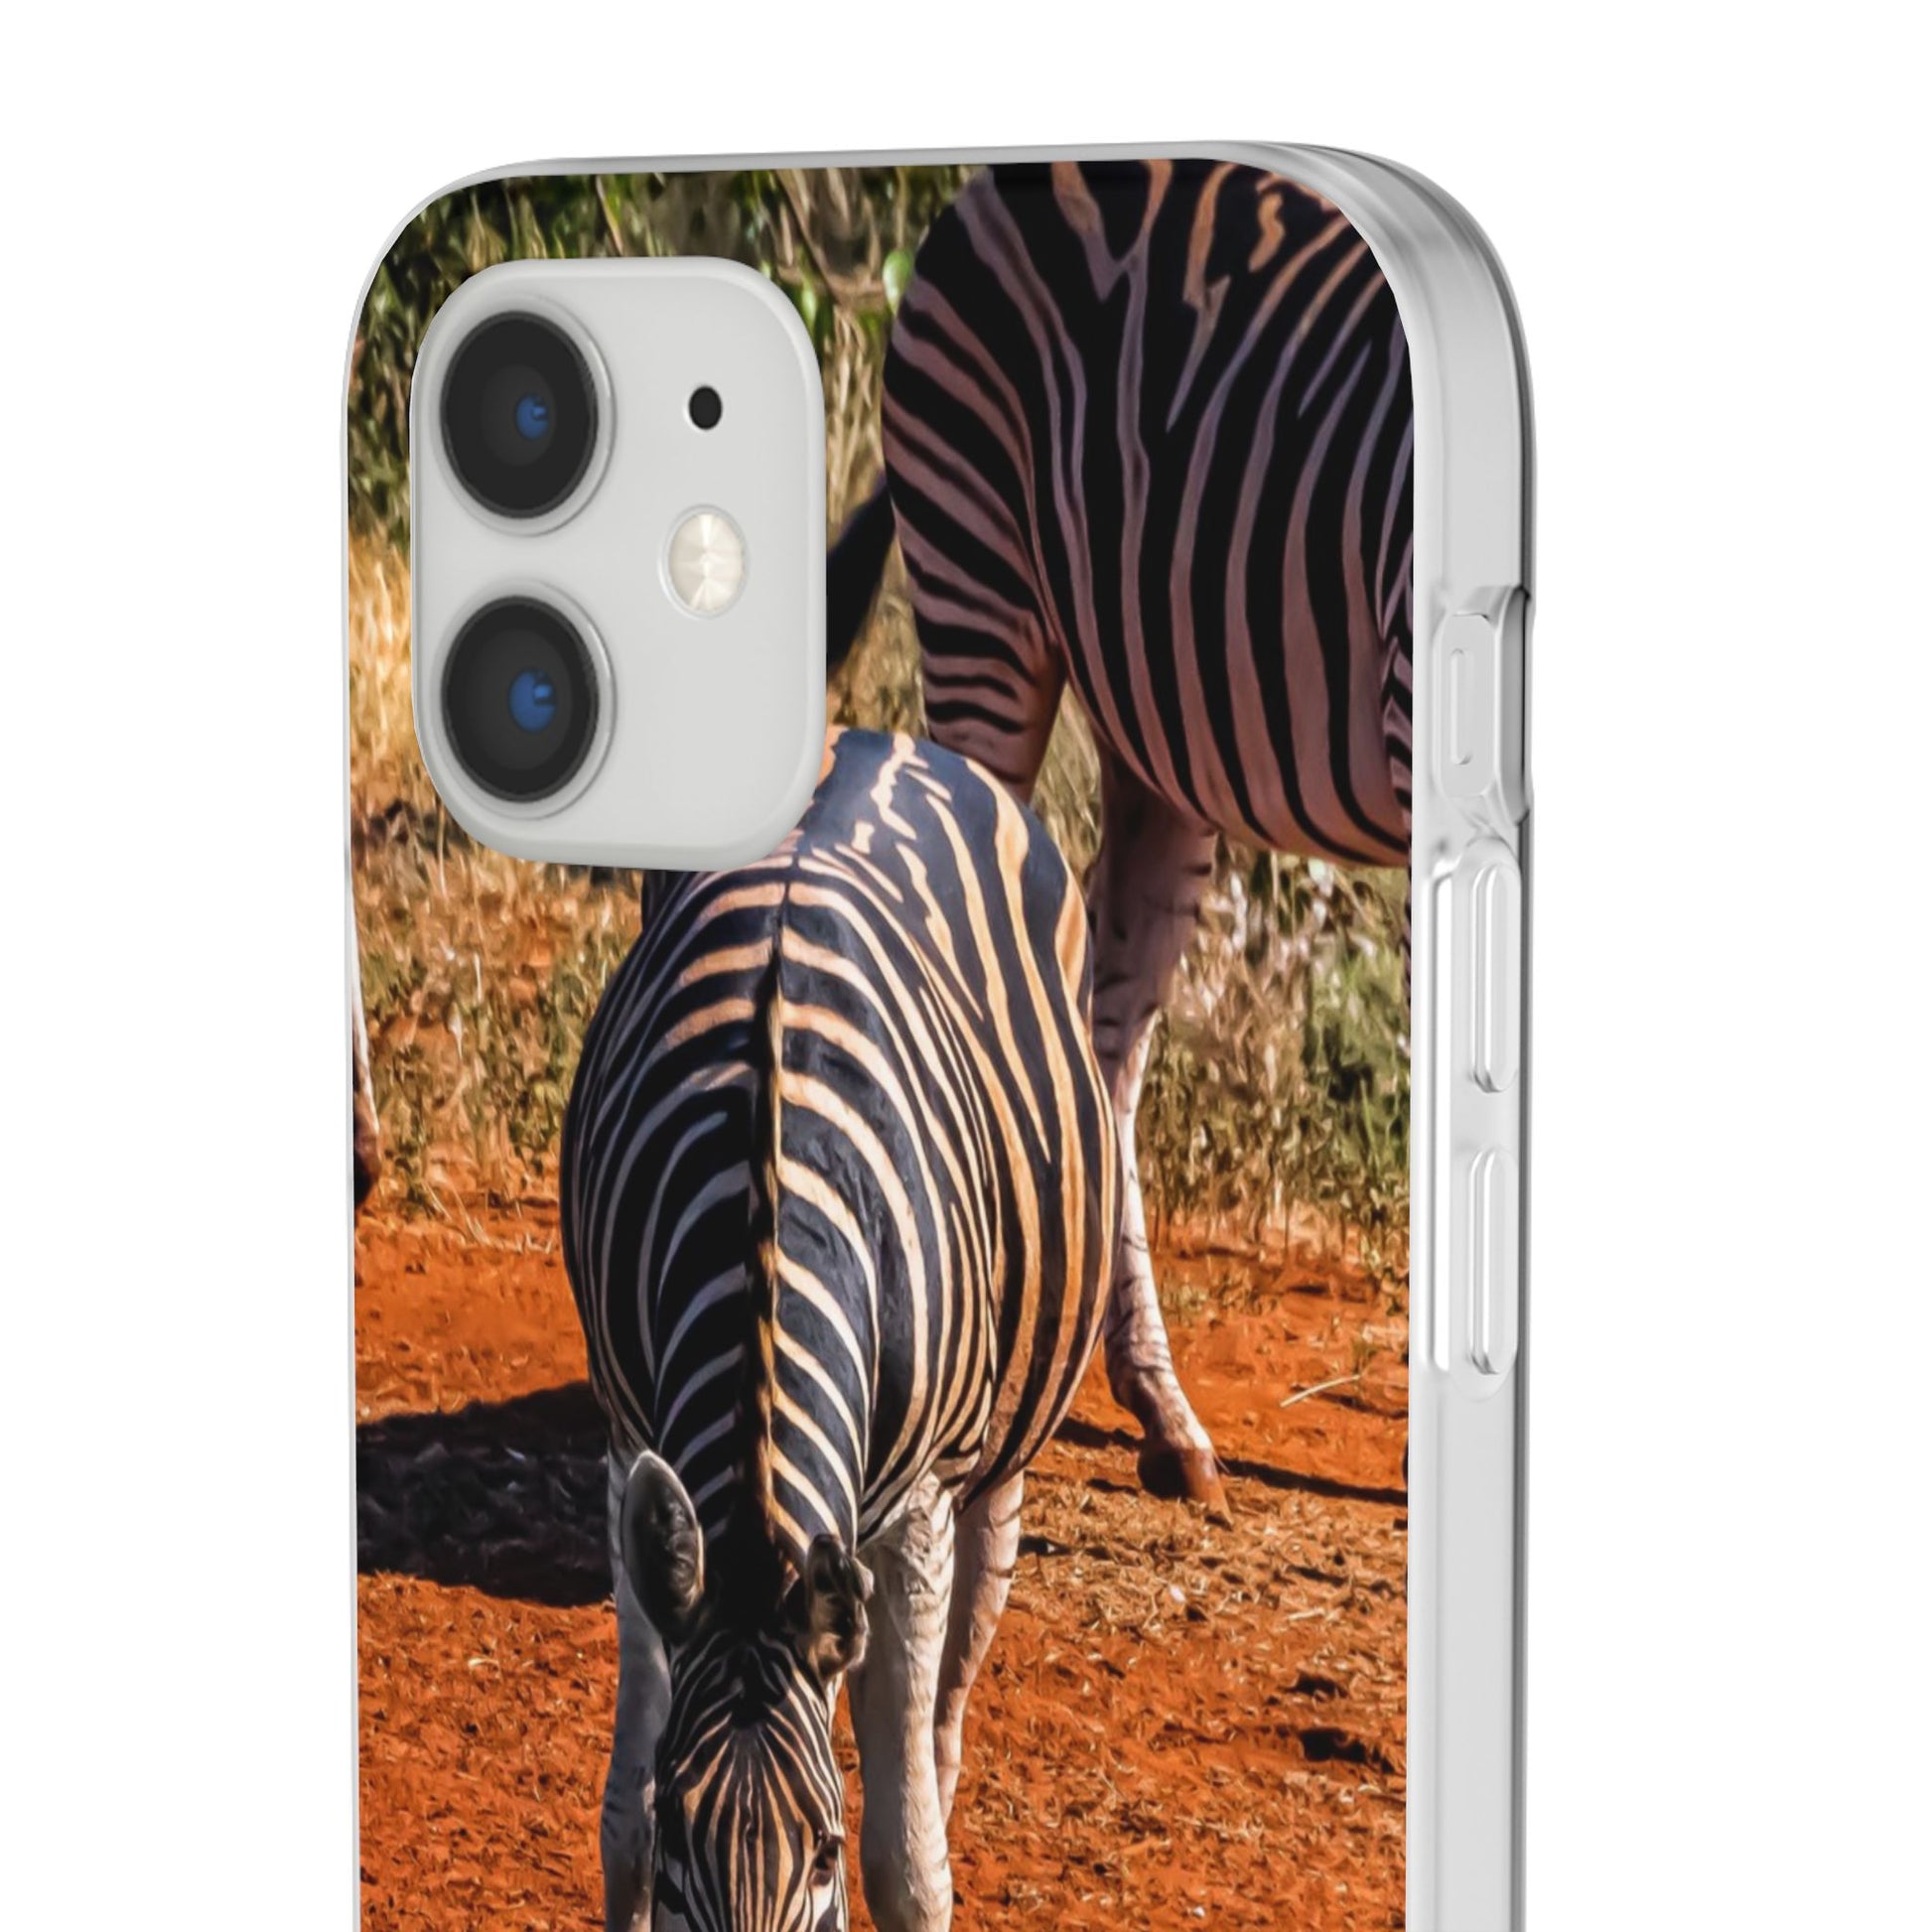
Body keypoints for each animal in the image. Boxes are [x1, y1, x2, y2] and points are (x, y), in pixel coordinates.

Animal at [562, 726, 1118, 1932]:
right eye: (683, 1844)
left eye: (819, 1854)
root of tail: (880, 736)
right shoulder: (630, 1443)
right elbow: (621, 1811)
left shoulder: (915, 1511)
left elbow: (907, 1865)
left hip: (996, 1451)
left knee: (949, 1689)